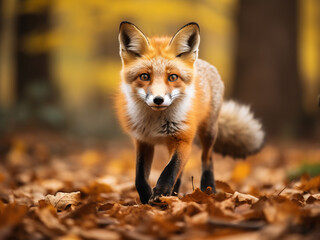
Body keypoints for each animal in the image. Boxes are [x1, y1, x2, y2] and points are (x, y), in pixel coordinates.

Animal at [116, 21, 264, 203]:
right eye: (144, 76)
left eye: (172, 77)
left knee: (207, 159)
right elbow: (140, 178)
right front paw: (147, 198)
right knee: (182, 171)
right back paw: (174, 194)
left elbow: (169, 170)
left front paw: (160, 193)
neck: (155, 122)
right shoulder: (143, 141)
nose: (158, 100)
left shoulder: (182, 138)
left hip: (208, 133)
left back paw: (208, 189)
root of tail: (203, 62)